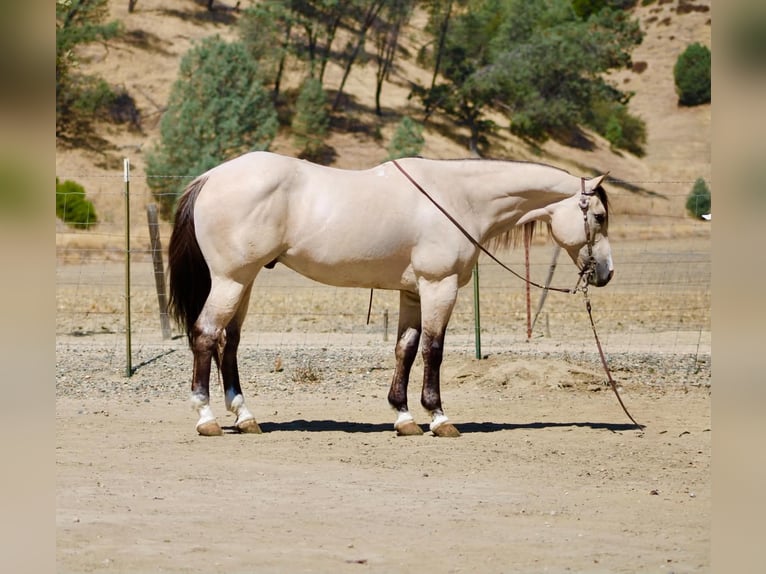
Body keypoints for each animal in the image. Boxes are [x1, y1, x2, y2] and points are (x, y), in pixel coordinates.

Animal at [168, 151, 613, 437]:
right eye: (600, 216)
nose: (606, 273)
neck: (458, 198)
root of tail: (210, 178)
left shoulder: (413, 293)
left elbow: (406, 349)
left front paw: (404, 416)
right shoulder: (438, 286)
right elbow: (433, 349)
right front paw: (438, 417)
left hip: (244, 282)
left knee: (229, 342)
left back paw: (245, 417)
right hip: (231, 279)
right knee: (206, 334)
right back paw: (207, 418)